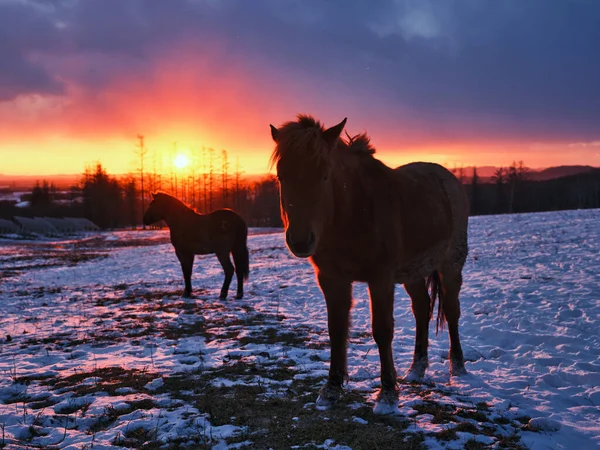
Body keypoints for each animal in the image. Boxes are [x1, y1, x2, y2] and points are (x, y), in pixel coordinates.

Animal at [270, 116, 472, 414]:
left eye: (325, 175)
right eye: (281, 176)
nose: (300, 240)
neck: (353, 212)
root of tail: (449, 178)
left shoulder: (380, 279)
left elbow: (382, 331)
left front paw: (387, 394)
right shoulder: (332, 280)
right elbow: (336, 329)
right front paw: (331, 389)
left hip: (451, 266)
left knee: (452, 310)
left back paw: (457, 367)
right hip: (412, 273)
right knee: (421, 309)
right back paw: (416, 369)